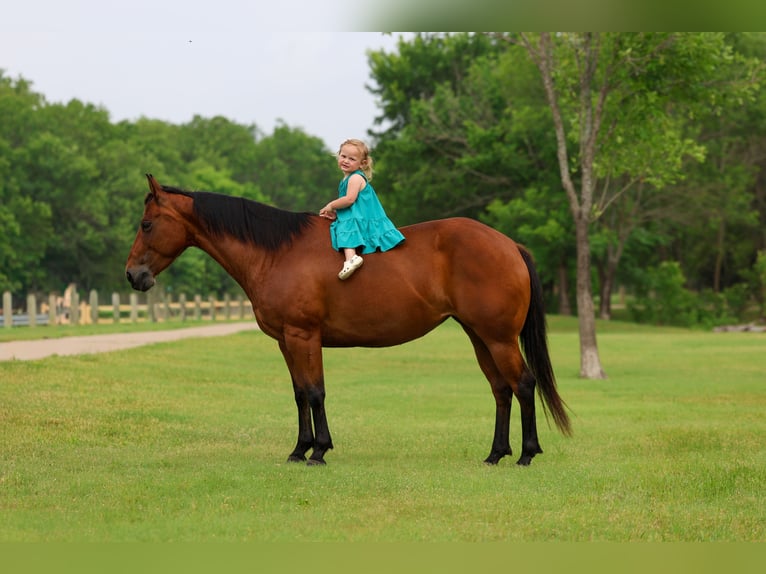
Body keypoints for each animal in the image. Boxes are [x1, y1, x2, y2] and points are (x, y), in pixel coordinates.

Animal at [125, 174, 571, 466]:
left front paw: (319, 451)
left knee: (523, 384)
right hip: (480, 337)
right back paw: (495, 454)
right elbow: (299, 394)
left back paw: (526, 454)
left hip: (498, 338)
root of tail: (508, 244)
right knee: (501, 389)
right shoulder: (286, 341)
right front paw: (299, 449)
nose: (133, 275)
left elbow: (315, 392)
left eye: (146, 224)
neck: (276, 252)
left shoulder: (304, 336)